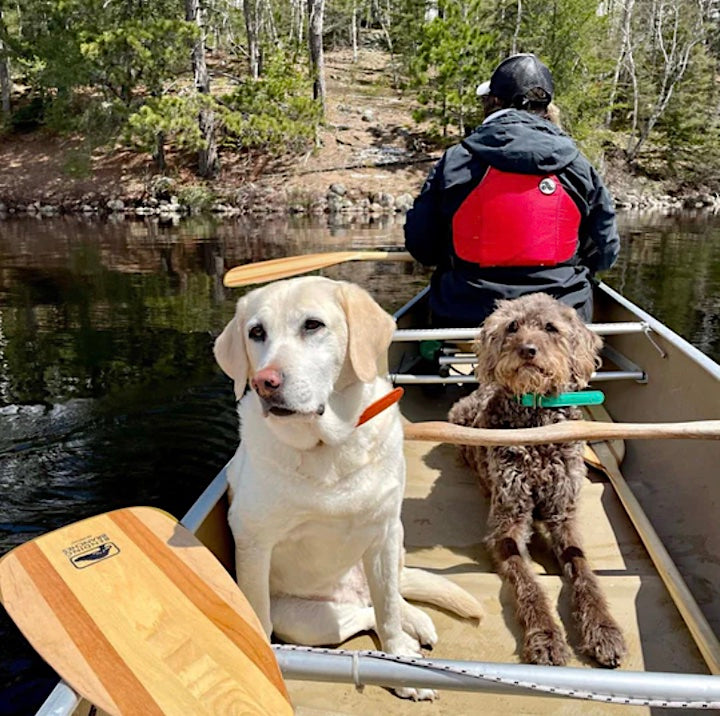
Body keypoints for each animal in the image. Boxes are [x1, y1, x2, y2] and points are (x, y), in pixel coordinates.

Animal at [448, 290, 628, 664]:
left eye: (550, 327)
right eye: (513, 326)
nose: (527, 350)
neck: (535, 422)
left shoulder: (564, 514)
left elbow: (584, 570)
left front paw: (604, 629)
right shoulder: (508, 521)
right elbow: (528, 583)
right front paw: (546, 636)